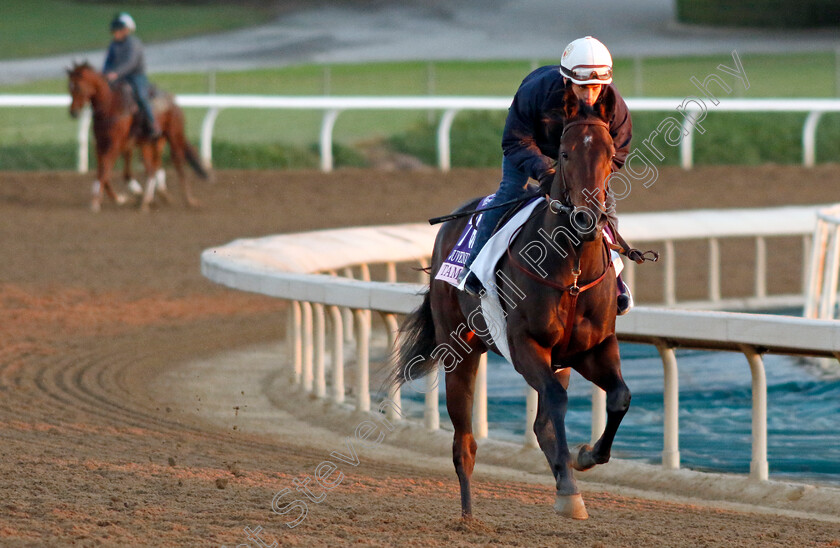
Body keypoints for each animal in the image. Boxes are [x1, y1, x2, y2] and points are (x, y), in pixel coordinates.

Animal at [66, 61, 208, 212]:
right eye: (69, 87)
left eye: (78, 87)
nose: (73, 112)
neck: (110, 106)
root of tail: (173, 102)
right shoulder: (101, 145)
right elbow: (104, 173)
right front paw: (119, 198)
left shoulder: (116, 144)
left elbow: (105, 170)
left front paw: (96, 201)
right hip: (152, 142)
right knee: (153, 167)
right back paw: (151, 198)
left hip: (173, 136)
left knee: (177, 163)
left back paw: (188, 199)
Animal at [394, 91, 632, 524]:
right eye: (566, 154)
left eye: (609, 154)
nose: (587, 218)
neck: (572, 271)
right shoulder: (525, 345)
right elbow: (555, 400)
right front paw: (569, 487)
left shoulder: (592, 347)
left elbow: (618, 397)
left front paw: (585, 456)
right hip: (460, 351)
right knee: (464, 442)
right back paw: (468, 516)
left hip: (559, 359)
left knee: (540, 423)